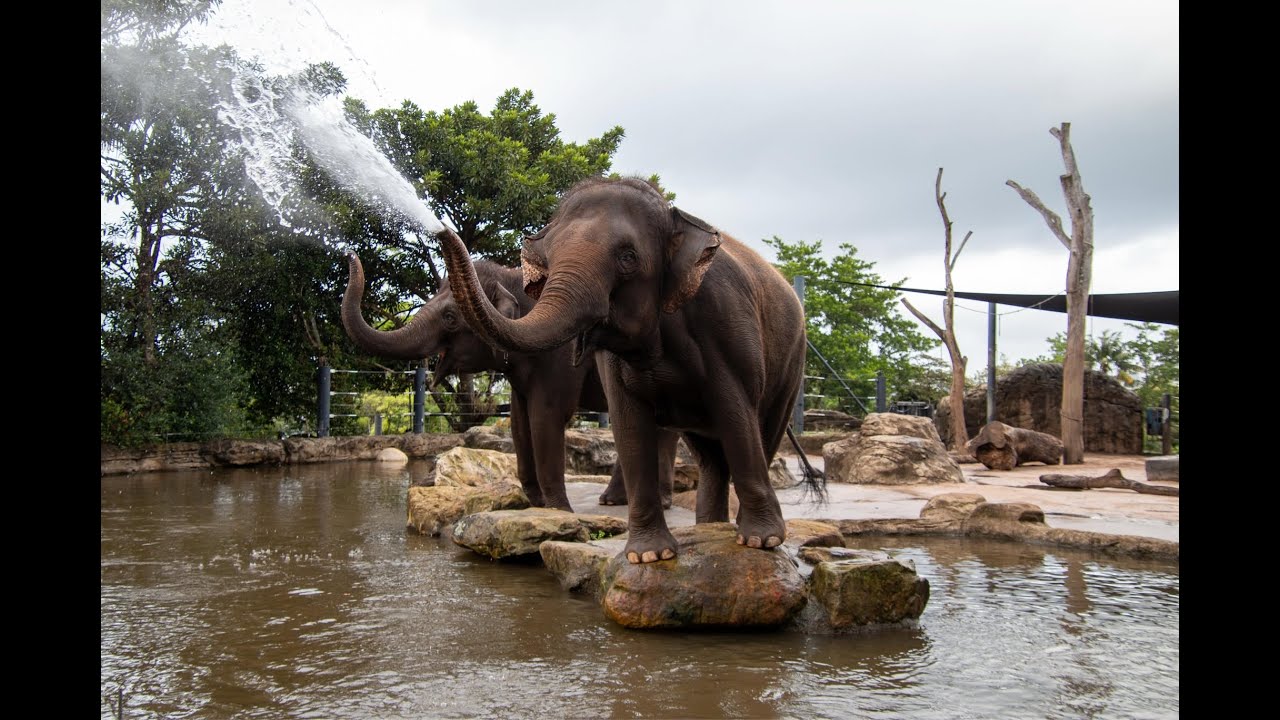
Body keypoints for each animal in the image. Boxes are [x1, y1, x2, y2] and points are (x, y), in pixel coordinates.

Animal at [340, 252, 676, 511]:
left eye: (450, 317)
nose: (349, 255)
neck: (512, 276)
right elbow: (519, 420)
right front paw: (535, 503)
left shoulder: (560, 355)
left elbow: (546, 415)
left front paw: (560, 510)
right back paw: (618, 501)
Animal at [434, 176, 814, 563]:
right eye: (549, 260)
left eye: (628, 258)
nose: (442, 230)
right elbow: (625, 421)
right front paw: (649, 556)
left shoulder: (724, 319)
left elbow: (734, 408)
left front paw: (762, 541)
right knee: (708, 455)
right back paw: (708, 527)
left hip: (791, 365)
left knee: (761, 432)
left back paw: (731, 529)